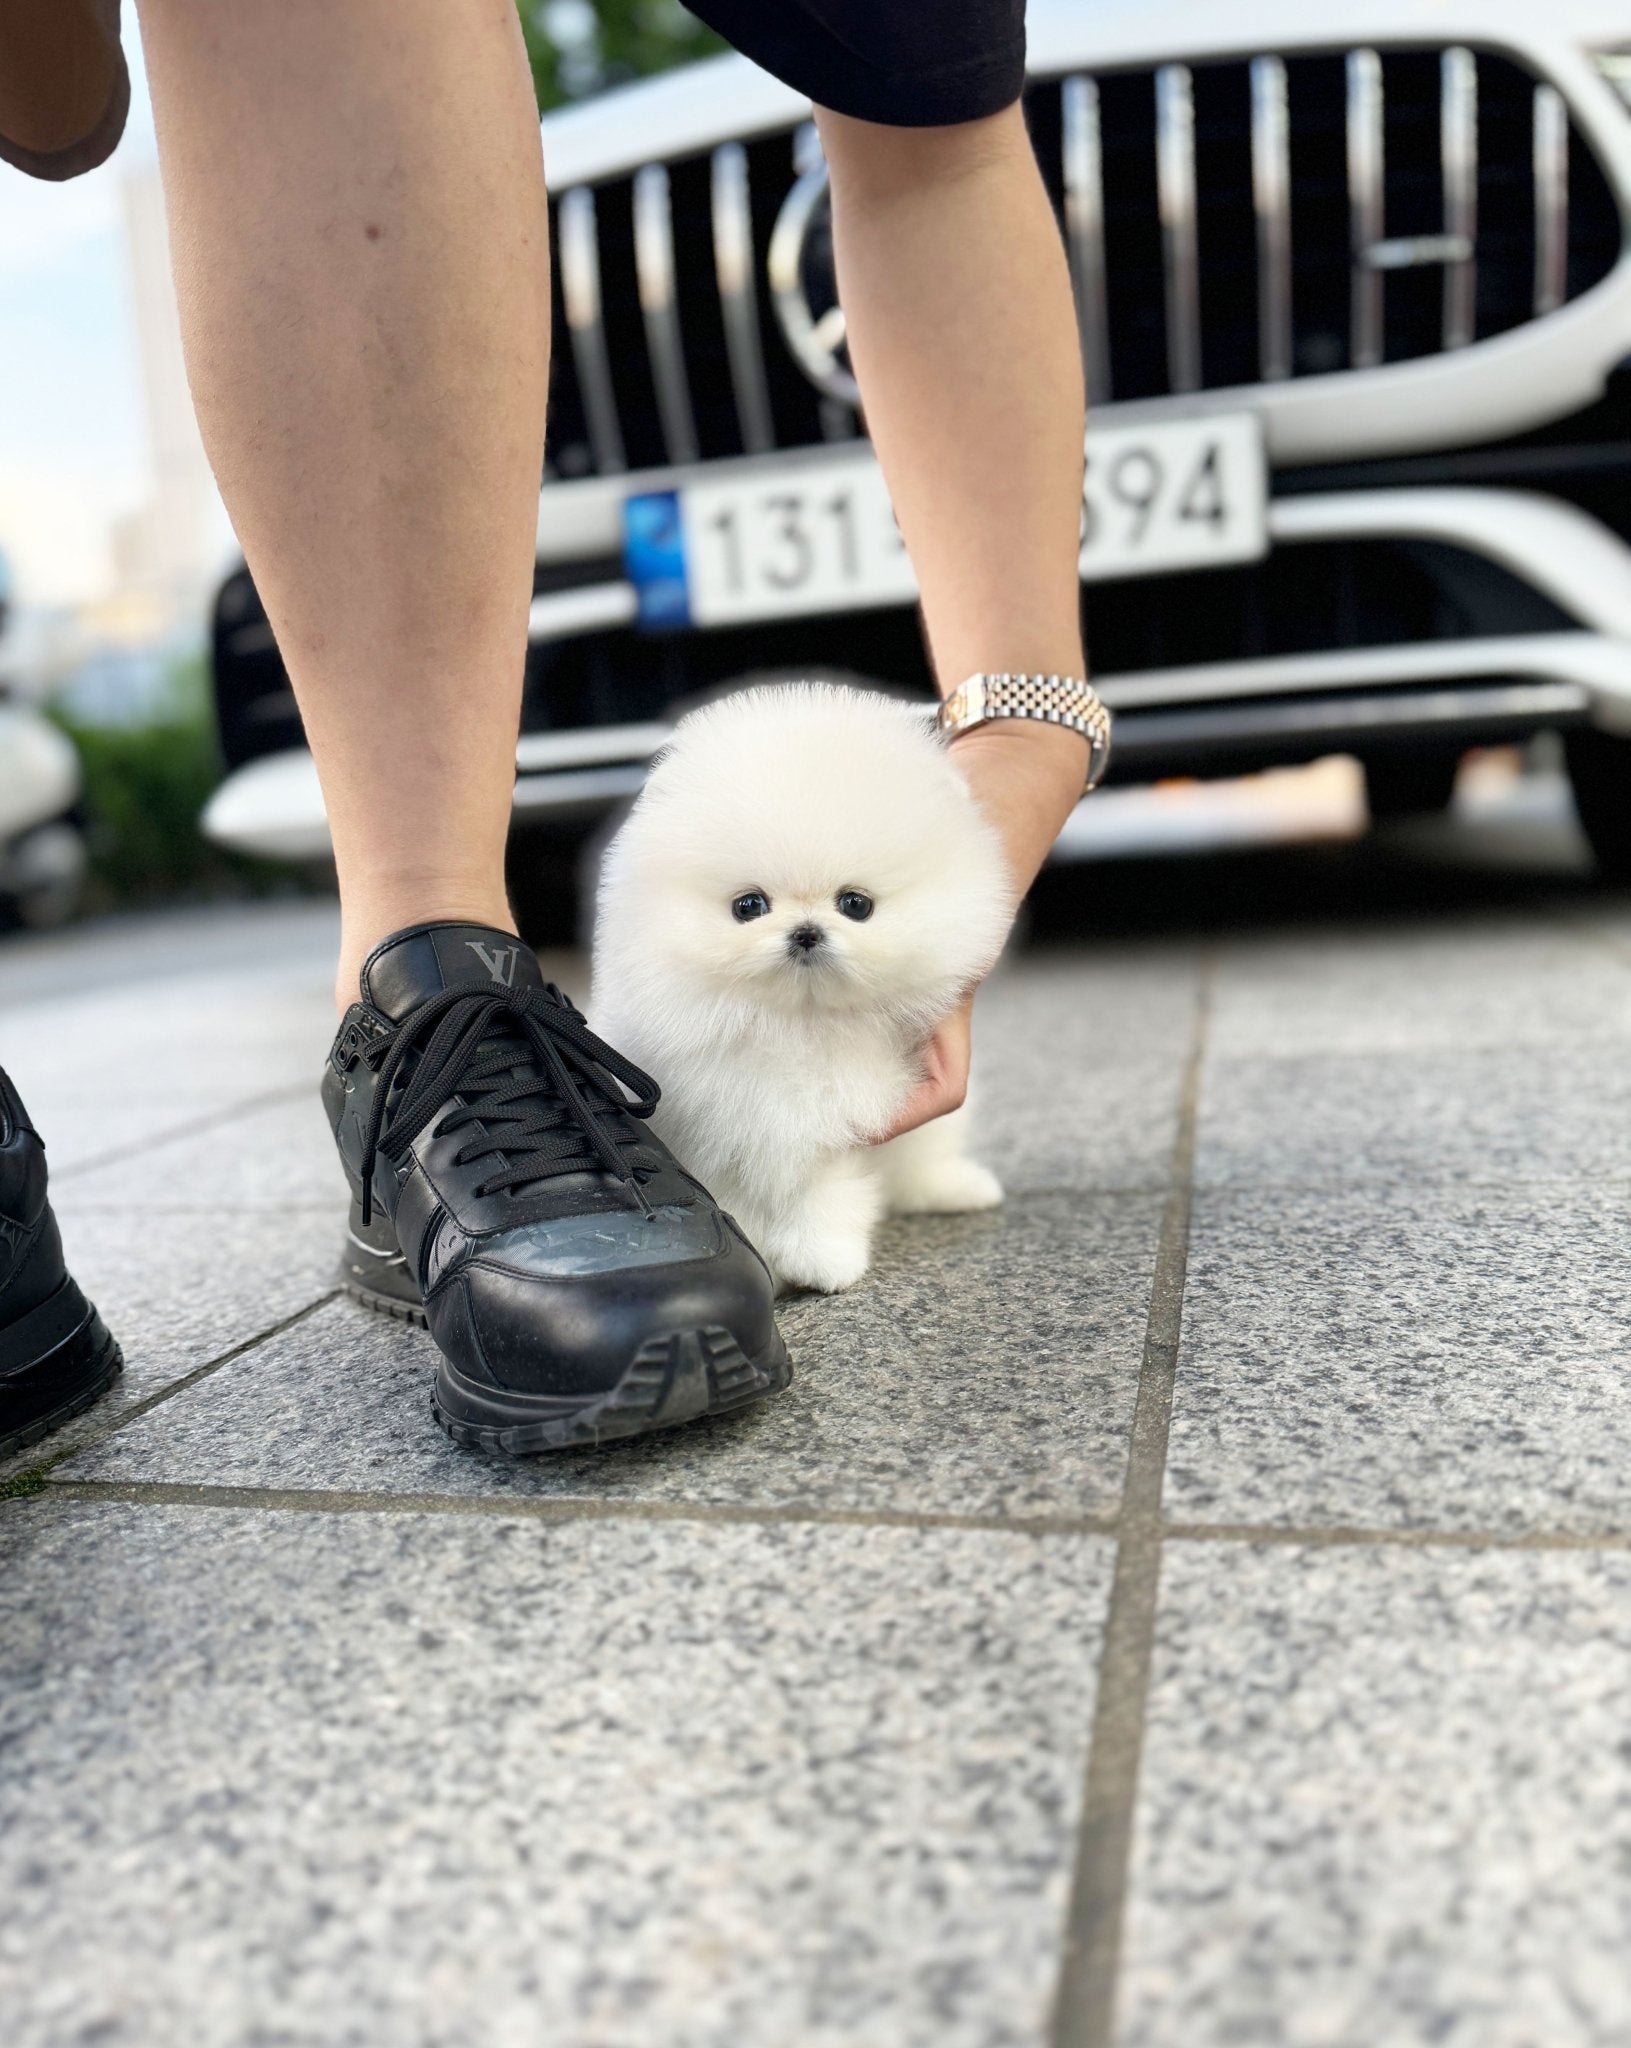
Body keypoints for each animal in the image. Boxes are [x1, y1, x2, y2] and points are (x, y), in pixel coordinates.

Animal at [594, 688, 1012, 1294]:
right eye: (749, 906)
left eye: (856, 904)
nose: (807, 932)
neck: (802, 1023)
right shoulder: (731, 1123)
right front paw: (792, 1264)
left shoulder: (849, 1116)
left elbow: (826, 1188)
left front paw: (822, 1258)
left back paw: (957, 1188)